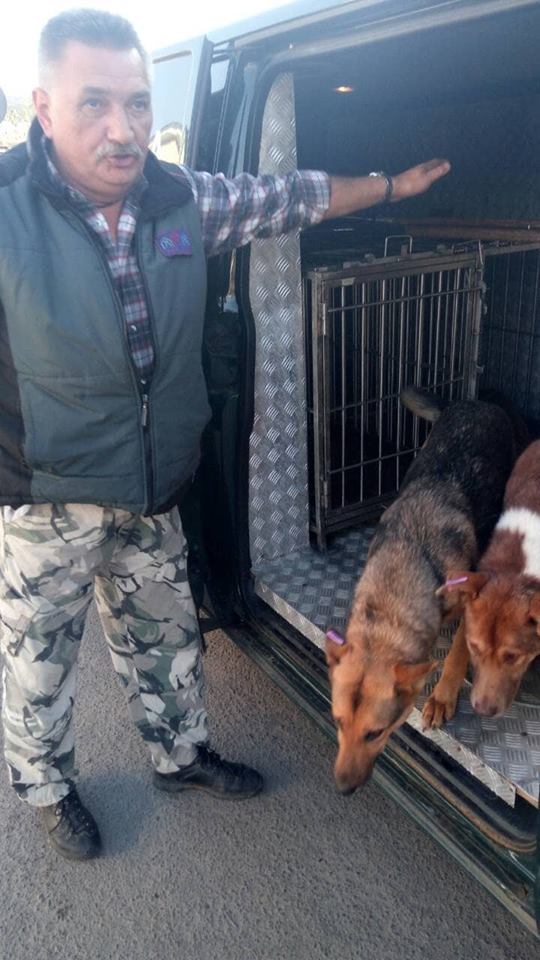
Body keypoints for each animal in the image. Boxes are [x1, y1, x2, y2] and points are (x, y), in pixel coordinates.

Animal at [325, 386, 522, 794]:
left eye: (375, 733)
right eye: (338, 722)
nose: (343, 789)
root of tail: (474, 402)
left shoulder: (470, 604)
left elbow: (457, 654)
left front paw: (443, 697)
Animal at [437, 439, 540, 717]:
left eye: (512, 656)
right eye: (475, 647)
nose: (482, 710)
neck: (518, 571)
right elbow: (456, 651)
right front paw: (442, 696)